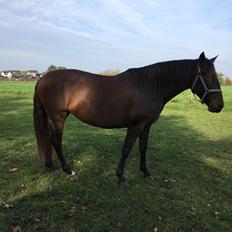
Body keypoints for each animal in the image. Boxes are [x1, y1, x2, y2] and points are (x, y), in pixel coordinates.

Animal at [32, 51, 223, 186]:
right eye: (206, 75)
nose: (219, 106)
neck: (150, 86)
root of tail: (43, 78)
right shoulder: (135, 125)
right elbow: (126, 149)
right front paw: (121, 177)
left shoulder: (146, 125)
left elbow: (143, 148)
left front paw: (145, 172)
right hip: (58, 117)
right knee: (56, 141)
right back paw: (69, 171)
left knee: (49, 139)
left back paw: (50, 166)